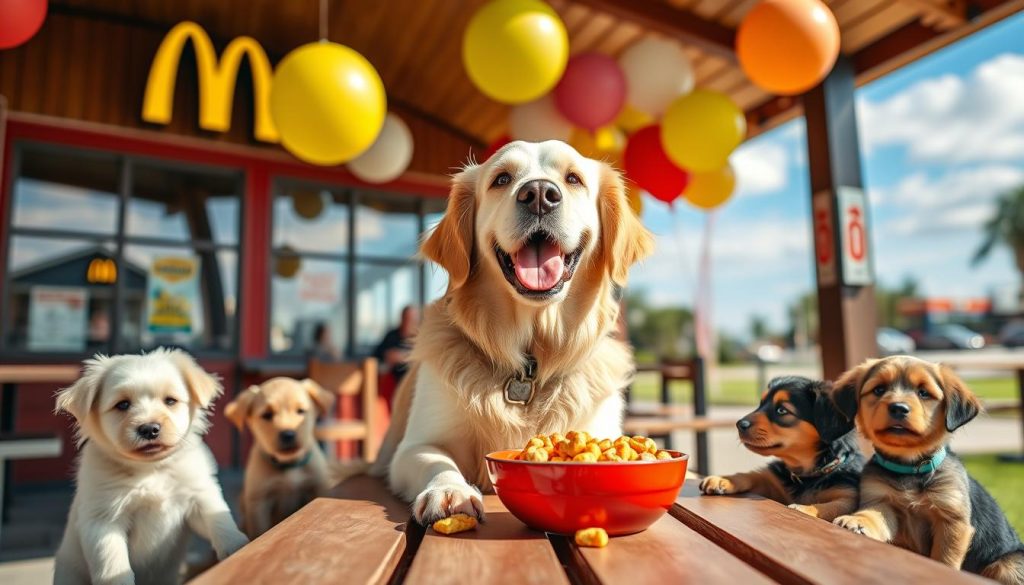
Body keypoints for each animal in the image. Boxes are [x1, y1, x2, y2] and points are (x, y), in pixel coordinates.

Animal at [54, 350, 247, 585]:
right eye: (122, 405)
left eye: (170, 401)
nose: (149, 429)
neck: (151, 470)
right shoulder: (103, 520)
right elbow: (112, 563)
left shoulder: (197, 496)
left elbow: (219, 520)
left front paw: (236, 546)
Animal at [224, 377, 335, 536]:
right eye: (267, 415)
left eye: (301, 411)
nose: (288, 434)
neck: (289, 465)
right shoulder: (258, 502)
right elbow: (259, 531)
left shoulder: (317, 488)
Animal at [372, 142, 651, 524]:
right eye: (501, 179)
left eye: (573, 178)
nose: (539, 195)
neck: (528, 363)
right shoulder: (413, 447)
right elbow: (437, 461)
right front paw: (450, 491)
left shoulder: (600, 431)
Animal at [696, 374, 864, 522]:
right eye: (761, 403)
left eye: (782, 410)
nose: (739, 424)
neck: (806, 475)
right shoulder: (772, 481)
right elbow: (753, 475)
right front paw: (723, 479)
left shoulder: (847, 496)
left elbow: (830, 507)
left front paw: (802, 509)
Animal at [831, 354, 1024, 581]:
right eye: (879, 389)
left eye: (923, 393)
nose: (898, 408)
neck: (909, 467)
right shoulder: (881, 500)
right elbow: (873, 515)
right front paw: (857, 520)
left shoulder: (951, 519)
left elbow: (944, 559)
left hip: (1009, 566)